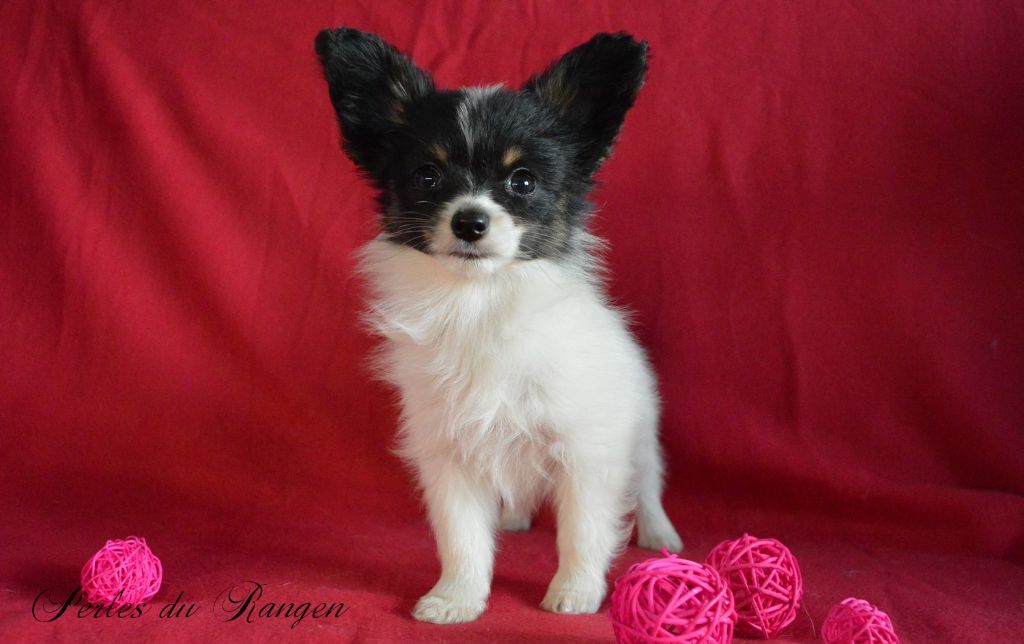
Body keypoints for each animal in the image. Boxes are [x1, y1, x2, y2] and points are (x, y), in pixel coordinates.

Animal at [314, 28, 682, 624]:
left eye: (522, 181)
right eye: (428, 176)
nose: (470, 221)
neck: (480, 304)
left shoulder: (588, 449)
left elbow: (583, 530)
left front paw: (575, 592)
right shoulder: (448, 451)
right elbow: (461, 537)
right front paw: (456, 597)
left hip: (643, 428)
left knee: (647, 483)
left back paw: (660, 534)